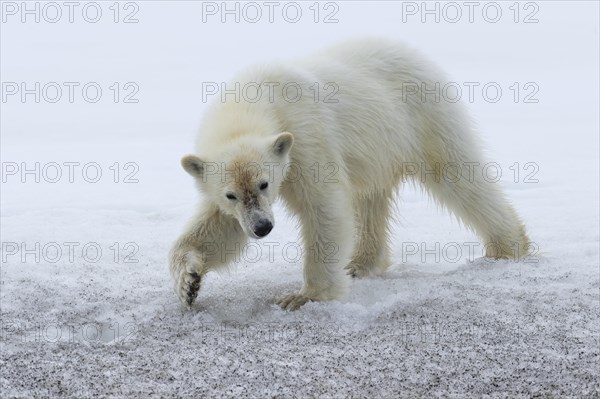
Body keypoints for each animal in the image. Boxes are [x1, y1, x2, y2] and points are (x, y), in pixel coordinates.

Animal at [169, 37, 528, 310]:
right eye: (230, 194)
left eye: (264, 184)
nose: (262, 227)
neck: (256, 98)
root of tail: (411, 51)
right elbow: (219, 227)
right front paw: (188, 282)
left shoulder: (307, 135)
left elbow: (323, 207)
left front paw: (302, 296)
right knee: (369, 198)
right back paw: (361, 263)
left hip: (422, 116)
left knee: (460, 177)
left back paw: (508, 247)